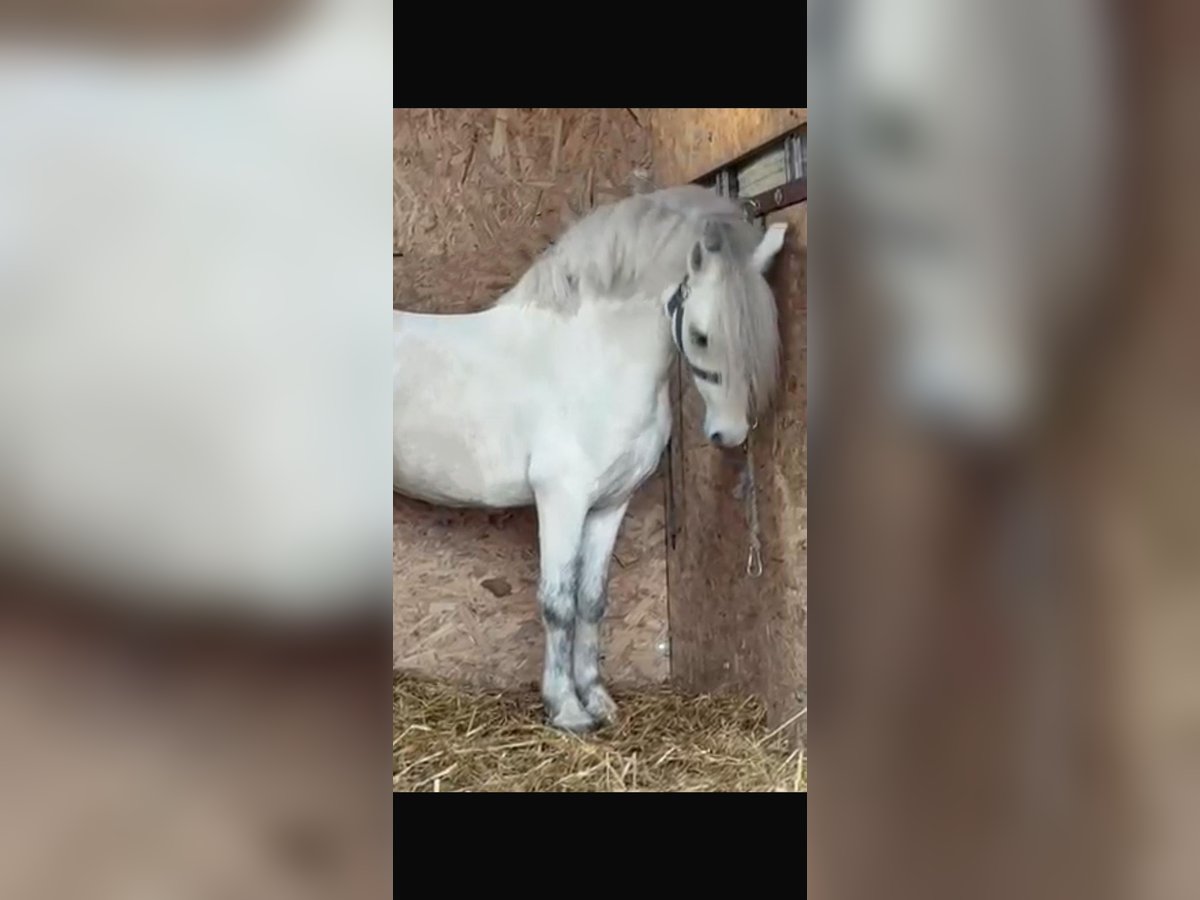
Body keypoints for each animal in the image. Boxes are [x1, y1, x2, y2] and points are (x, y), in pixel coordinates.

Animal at [393, 185, 788, 732]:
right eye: (703, 336)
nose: (728, 433)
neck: (595, 359)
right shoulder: (561, 498)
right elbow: (558, 603)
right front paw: (566, 709)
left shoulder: (609, 504)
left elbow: (591, 601)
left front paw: (598, 700)